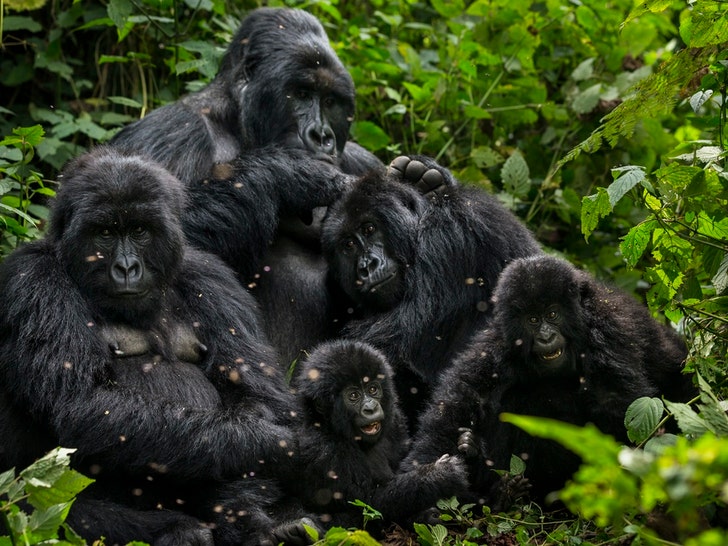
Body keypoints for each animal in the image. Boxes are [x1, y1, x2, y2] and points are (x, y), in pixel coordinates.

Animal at [0, 147, 314, 544]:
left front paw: (247, 505)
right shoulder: (34, 282)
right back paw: (177, 530)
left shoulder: (213, 279)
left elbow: (259, 394)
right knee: (51, 512)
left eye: (139, 230)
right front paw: (266, 442)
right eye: (105, 233)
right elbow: (80, 403)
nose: (126, 268)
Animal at [110, 7, 384, 362]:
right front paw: (286, 173)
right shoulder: (170, 131)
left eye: (331, 101)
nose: (322, 136)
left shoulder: (364, 162)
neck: (235, 120)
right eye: (302, 93)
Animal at [290, 338, 466, 532]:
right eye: (353, 395)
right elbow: (368, 504)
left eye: (373, 389)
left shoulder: (395, 419)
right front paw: (439, 476)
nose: (371, 407)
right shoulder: (325, 448)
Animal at [404, 253, 692, 500]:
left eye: (553, 314)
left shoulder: (607, 329)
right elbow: (462, 399)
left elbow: (618, 409)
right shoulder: (499, 343)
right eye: (532, 320)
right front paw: (428, 481)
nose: (545, 337)